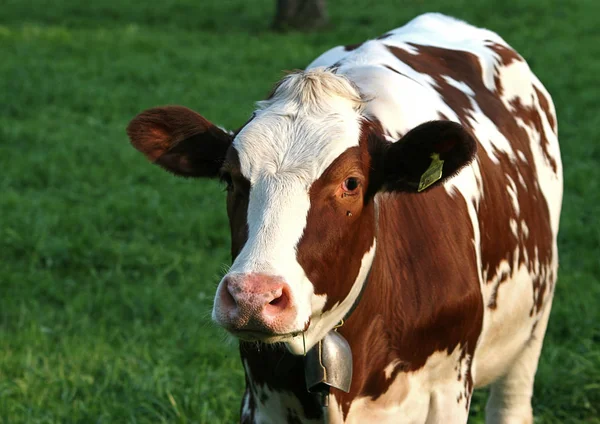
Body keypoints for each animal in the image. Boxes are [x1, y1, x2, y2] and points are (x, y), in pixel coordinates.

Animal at [126, 13, 564, 424]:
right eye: (230, 178)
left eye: (351, 183)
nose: (252, 297)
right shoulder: (261, 398)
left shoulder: (448, 389)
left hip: (533, 326)